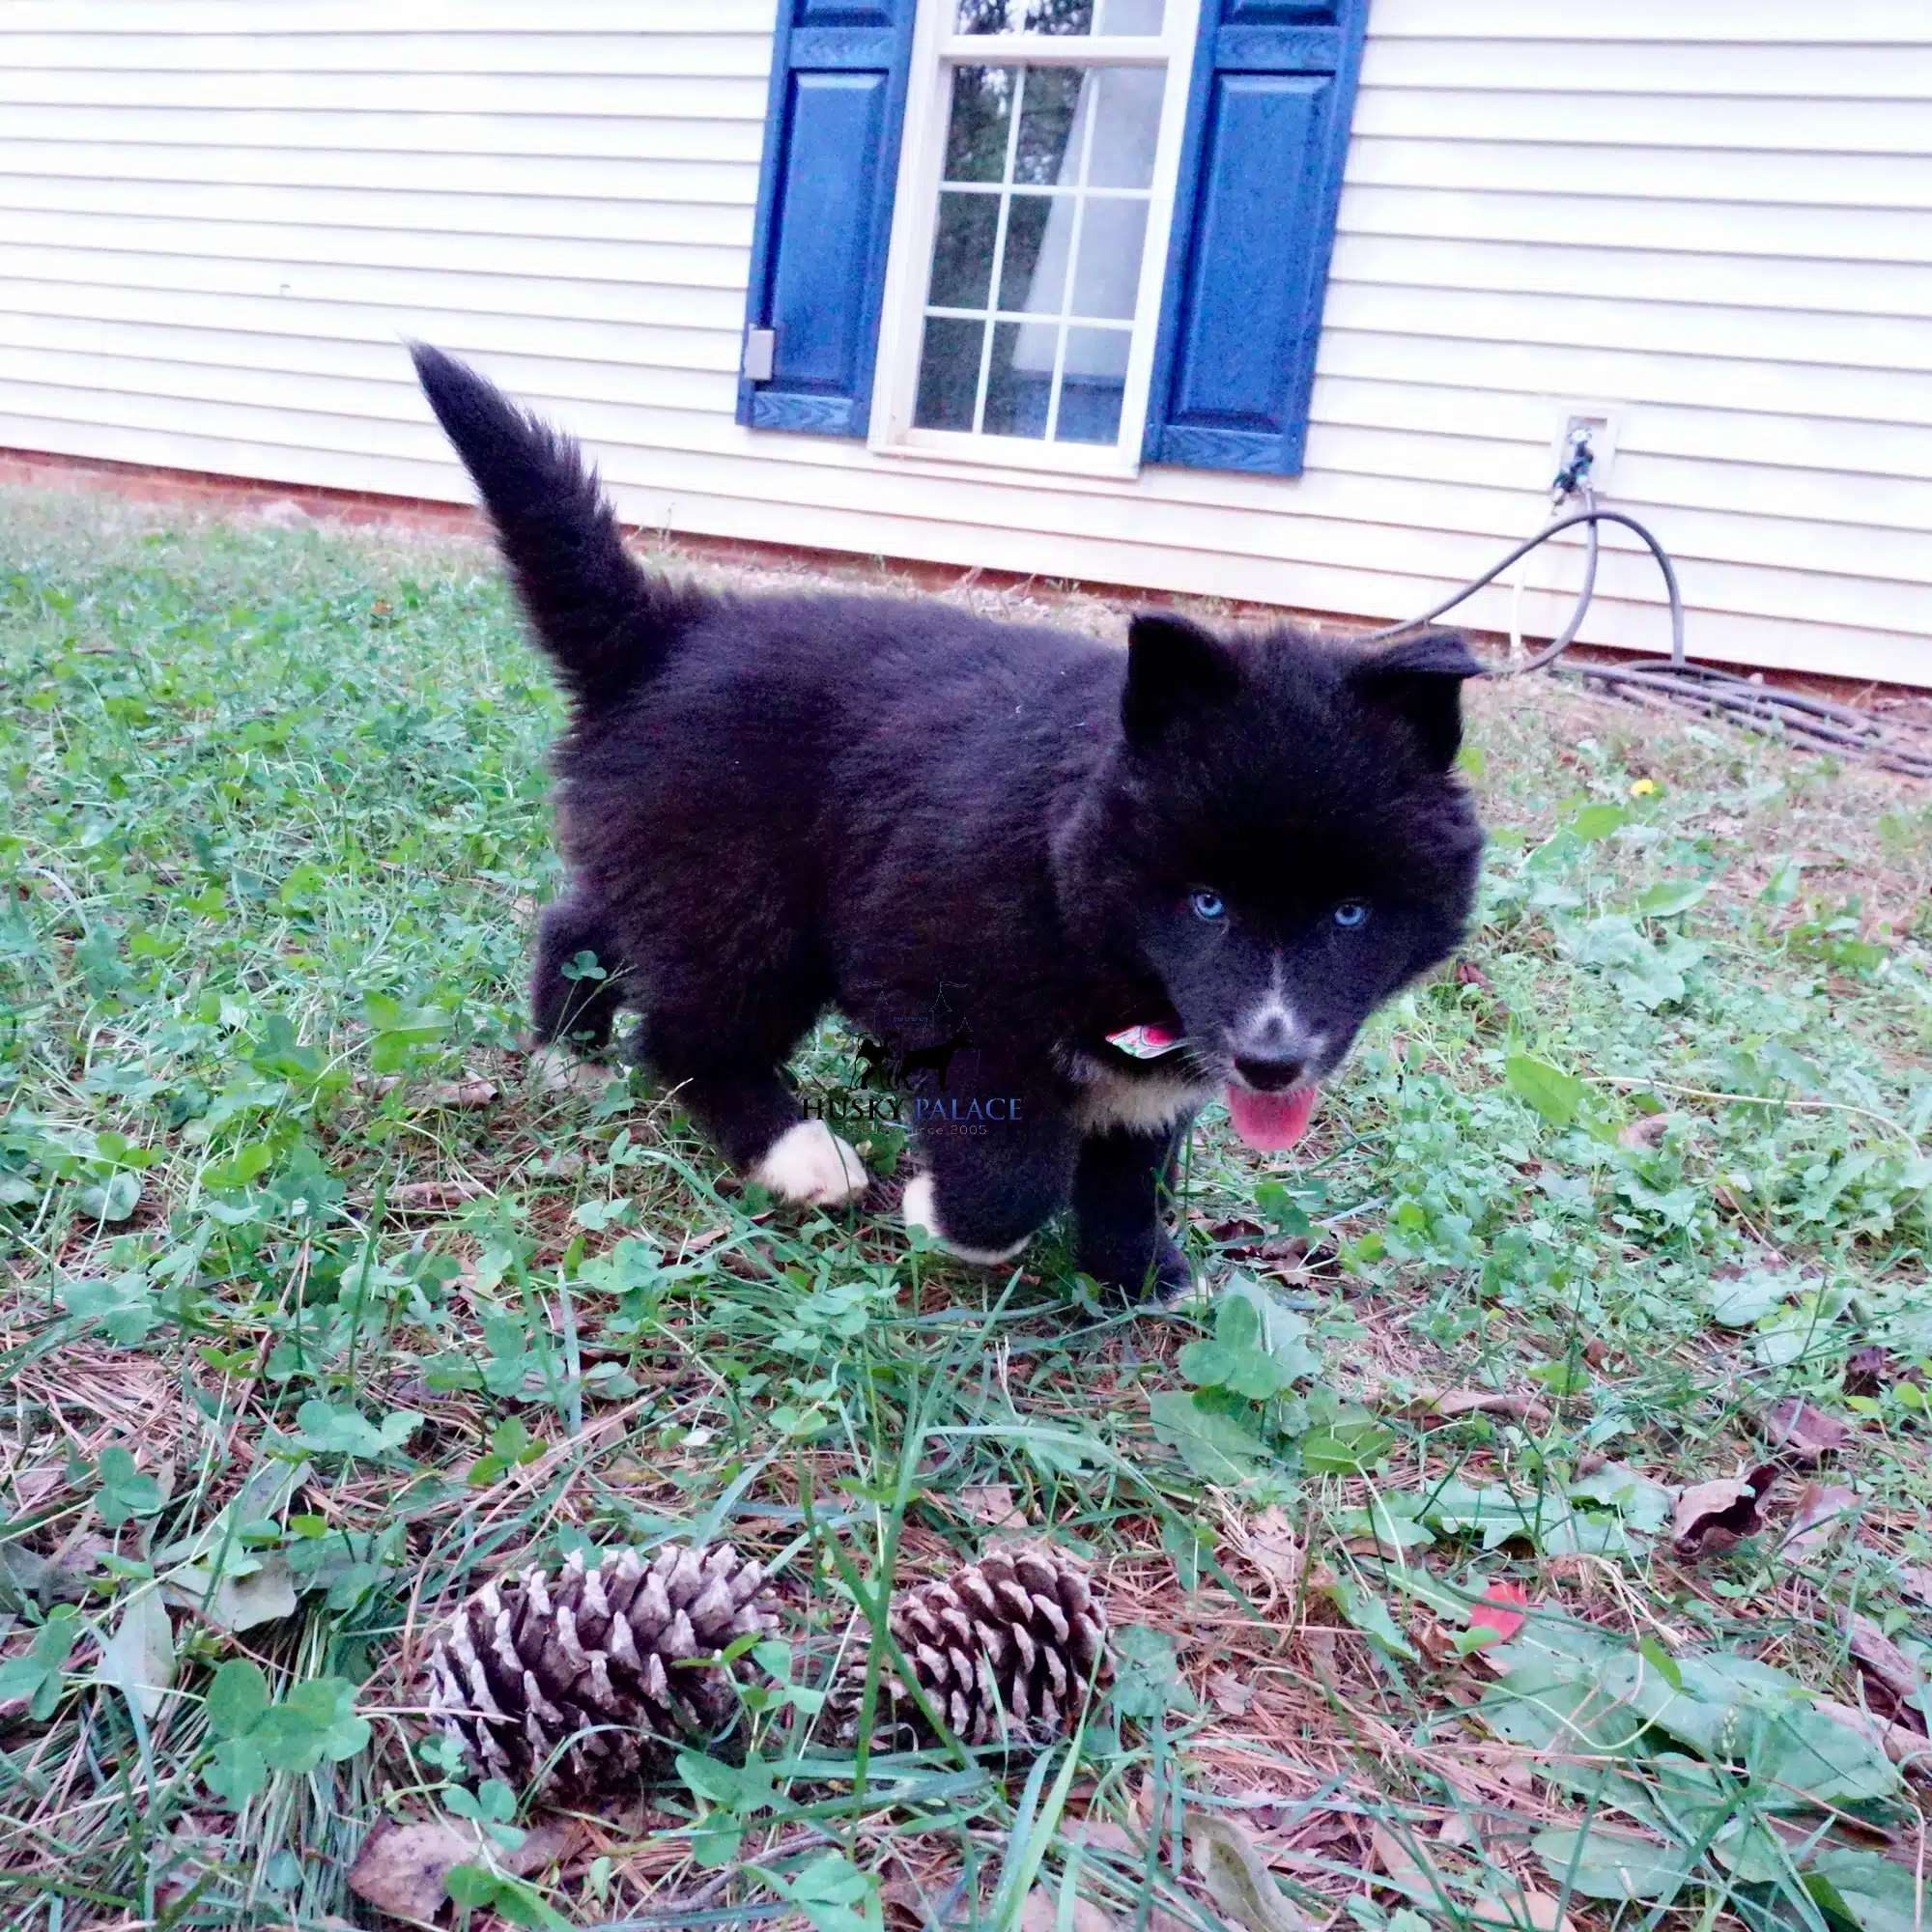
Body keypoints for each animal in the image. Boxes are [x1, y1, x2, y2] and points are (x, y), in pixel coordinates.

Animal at [415, 355, 1484, 1306]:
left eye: (1351, 914)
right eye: (1207, 902)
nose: (1271, 1063)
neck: (1066, 863)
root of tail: (668, 638)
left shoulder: (1161, 1055)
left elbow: (1128, 1159)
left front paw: (1139, 1270)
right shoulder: (941, 984)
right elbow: (1013, 1162)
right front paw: (947, 1216)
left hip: (675, 861)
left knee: (587, 919)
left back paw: (566, 1050)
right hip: (748, 905)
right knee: (689, 1034)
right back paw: (796, 1151)